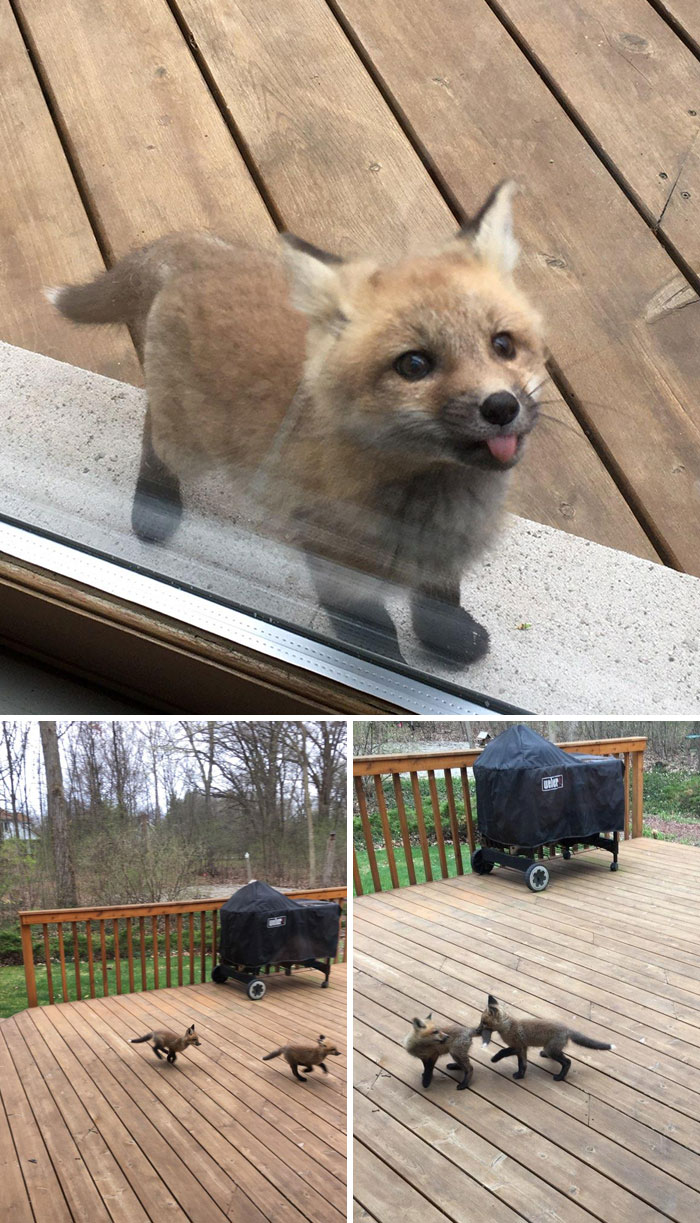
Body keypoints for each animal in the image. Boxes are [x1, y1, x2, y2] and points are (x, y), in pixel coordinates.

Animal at [48, 181, 546, 666]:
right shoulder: (332, 557)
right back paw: (155, 504)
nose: (501, 407)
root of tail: (204, 253)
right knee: (154, 436)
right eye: (415, 365)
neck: (433, 500)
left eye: (503, 344)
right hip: (189, 444)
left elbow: (439, 598)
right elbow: (373, 633)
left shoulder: (445, 554)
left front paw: (448, 638)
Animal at [476, 994, 615, 1081]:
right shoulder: (522, 1049)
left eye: (484, 1023)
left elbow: (503, 1051)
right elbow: (522, 1064)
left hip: (552, 1050)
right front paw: (520, 1075)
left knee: (568, 1062)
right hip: (551, 1049)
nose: (476, 1030)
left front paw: (495, 1059)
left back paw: (560, 1077)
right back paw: (545, 1056)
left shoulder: (518, 1047)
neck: (508, 1027)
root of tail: (567, 1029)